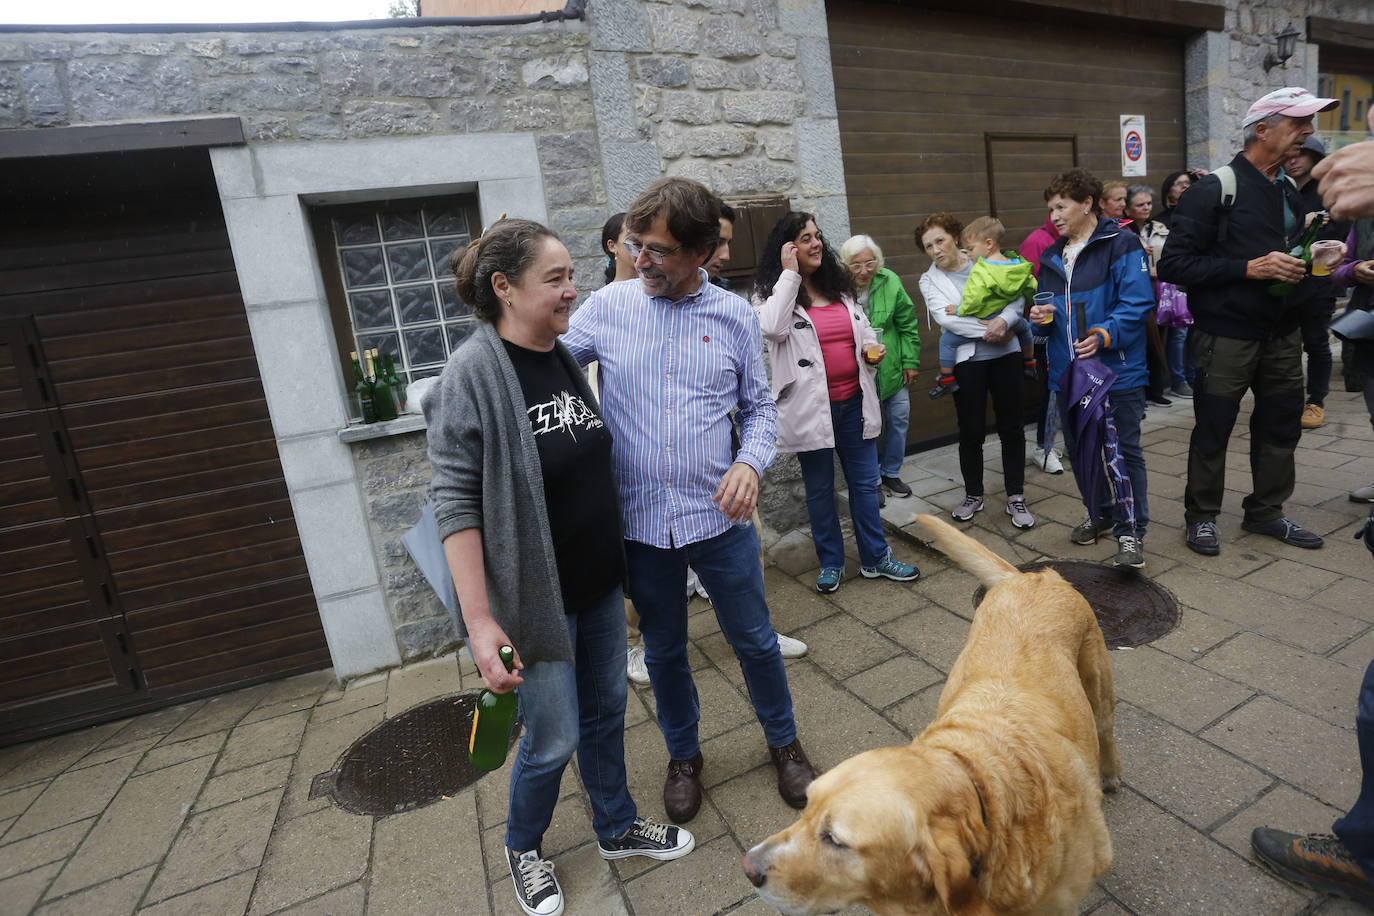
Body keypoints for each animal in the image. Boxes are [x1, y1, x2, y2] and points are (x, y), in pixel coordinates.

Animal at [747, 516, 1121, 916]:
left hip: (1099, 688)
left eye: (835, 840)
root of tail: (1033, 576)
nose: (748, 867)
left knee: (1106, 731)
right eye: (806, 806)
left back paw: (1111, 774)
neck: (982, 789)